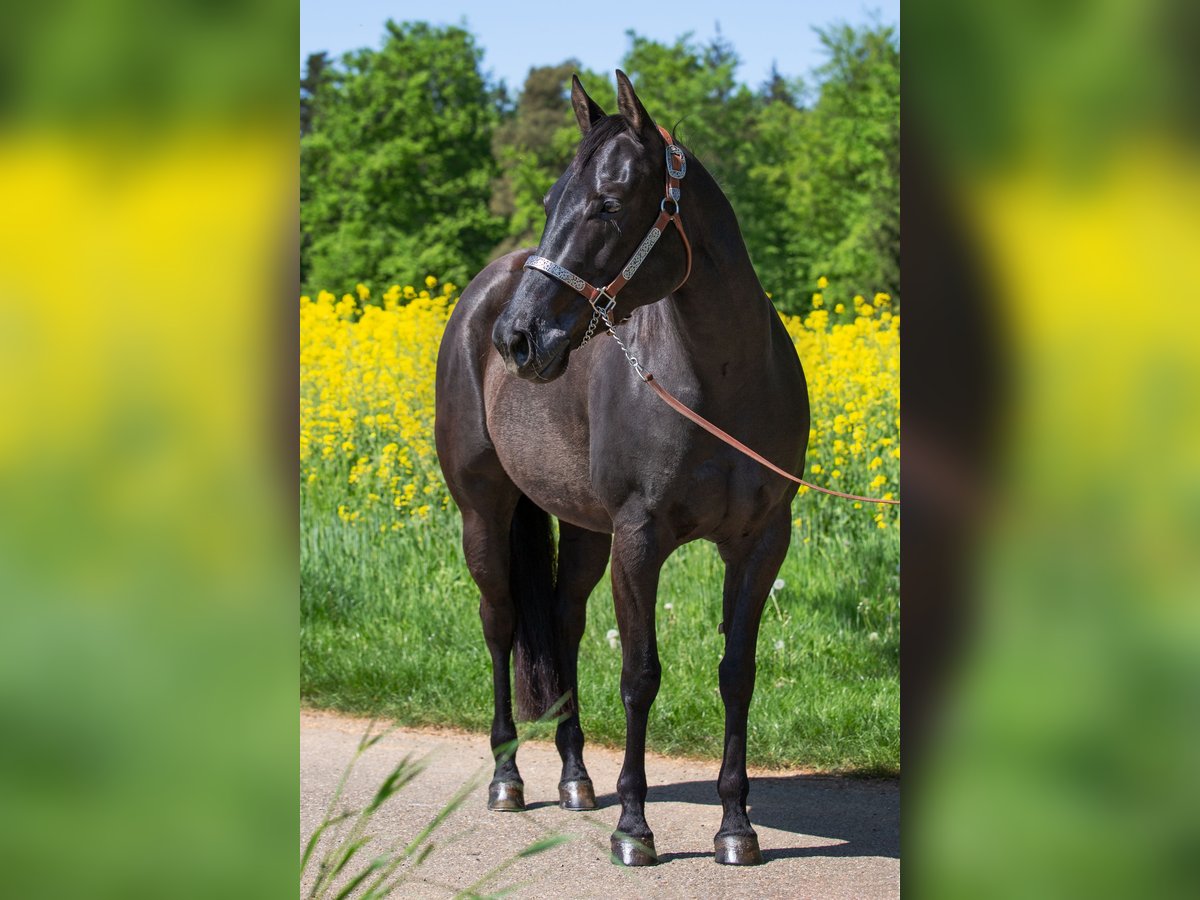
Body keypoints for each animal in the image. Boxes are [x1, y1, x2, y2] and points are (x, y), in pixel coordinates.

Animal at [434, 71, 808, 867]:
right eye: (551, 201)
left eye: (608, 203)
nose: (519, 339)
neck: (722, 382)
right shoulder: (639, 539)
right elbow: (640, 676)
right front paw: (635, 829)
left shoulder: (762, 541)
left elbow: (737, 672)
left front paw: (737, 826)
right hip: (484, 515)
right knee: (500, 622)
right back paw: (508, 778)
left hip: (583, 530)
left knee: (563, 624)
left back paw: (577, 777)